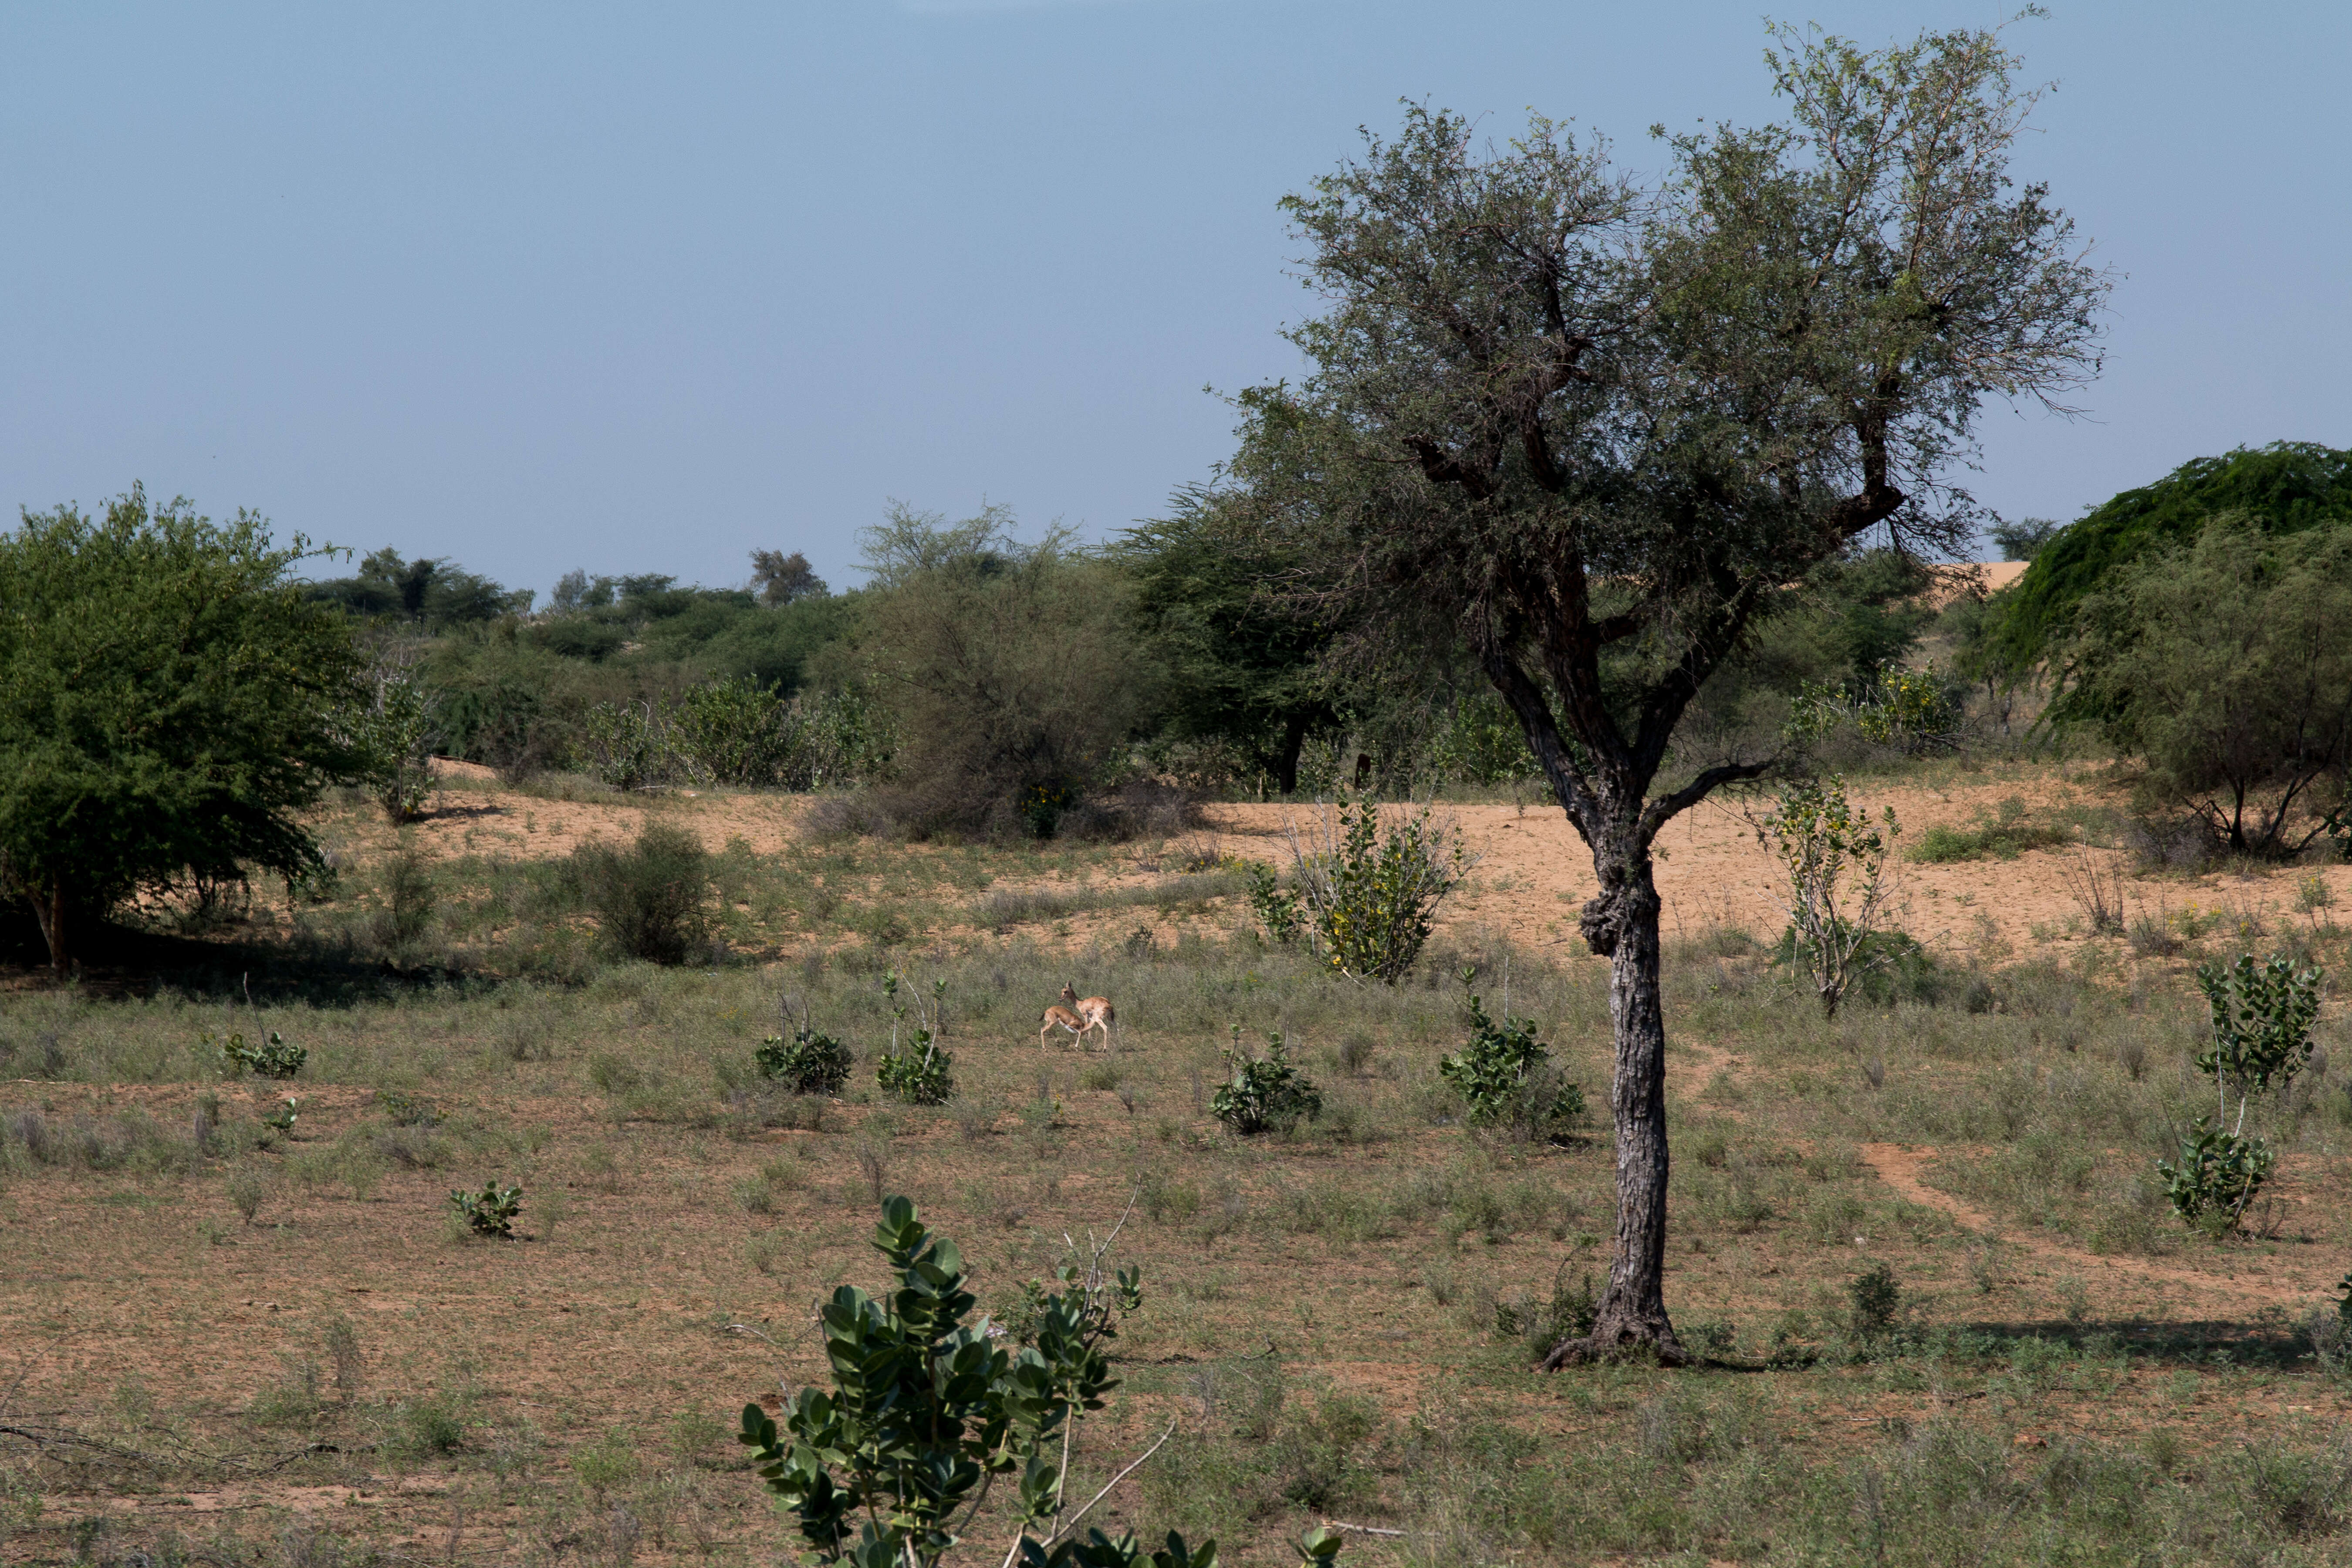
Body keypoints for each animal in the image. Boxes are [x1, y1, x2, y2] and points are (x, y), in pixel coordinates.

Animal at [1063, 983, 1115, 1053]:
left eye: (1066, 991)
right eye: (1062, 990)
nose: (1060, 999)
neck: (1081, 1004)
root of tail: (1109, 1005)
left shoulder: (1086, 1016)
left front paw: (1088, 1039)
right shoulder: (1091, 1018)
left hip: (1099, 1019)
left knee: (1105, 1027)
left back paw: (1104, 1049)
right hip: (1111, 1019)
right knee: (1117, 1028)